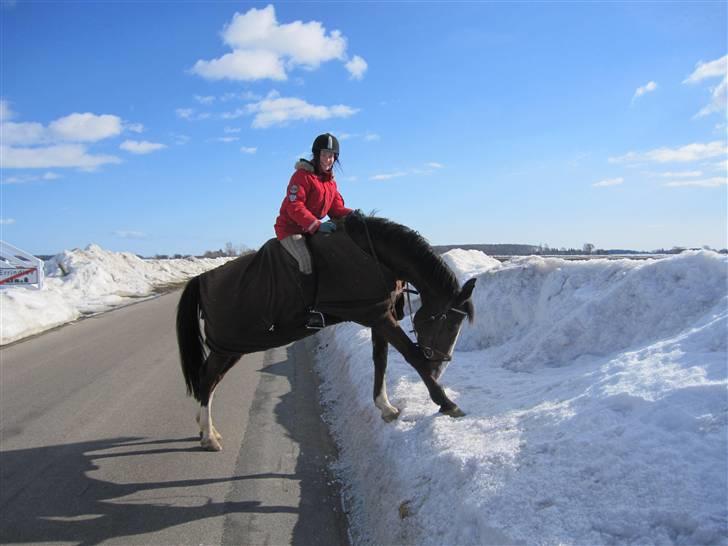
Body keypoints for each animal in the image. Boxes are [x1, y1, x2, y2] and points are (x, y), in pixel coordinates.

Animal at [173, 212, 474, 450]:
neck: (372, 254)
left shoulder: (378, 314)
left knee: (211, 380)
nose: (440, 367)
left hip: (230, 347)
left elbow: (381, 360)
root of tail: (202, 279)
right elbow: (413, 357)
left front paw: (385, 407)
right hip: (228, 345)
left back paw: (206, 427)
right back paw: (209, 436)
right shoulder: (379, 317)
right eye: (448, 322)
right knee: (207, 379)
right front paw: (446, 403)